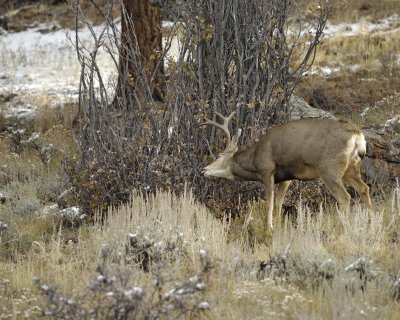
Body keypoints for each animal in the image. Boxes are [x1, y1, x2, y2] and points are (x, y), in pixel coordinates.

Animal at [202, 111, 374, 229]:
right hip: (351, 168)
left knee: (345, 197)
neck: (254, 159)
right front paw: (278, 226)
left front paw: (269, 228)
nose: (204, 169)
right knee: (364, 188)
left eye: (218, 156)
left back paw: (342, 228)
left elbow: (270, 202)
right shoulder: (288, 177)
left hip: (329, 168)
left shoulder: (267, 170)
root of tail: (358, 136)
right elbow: (279, 202)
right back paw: (370, 224)